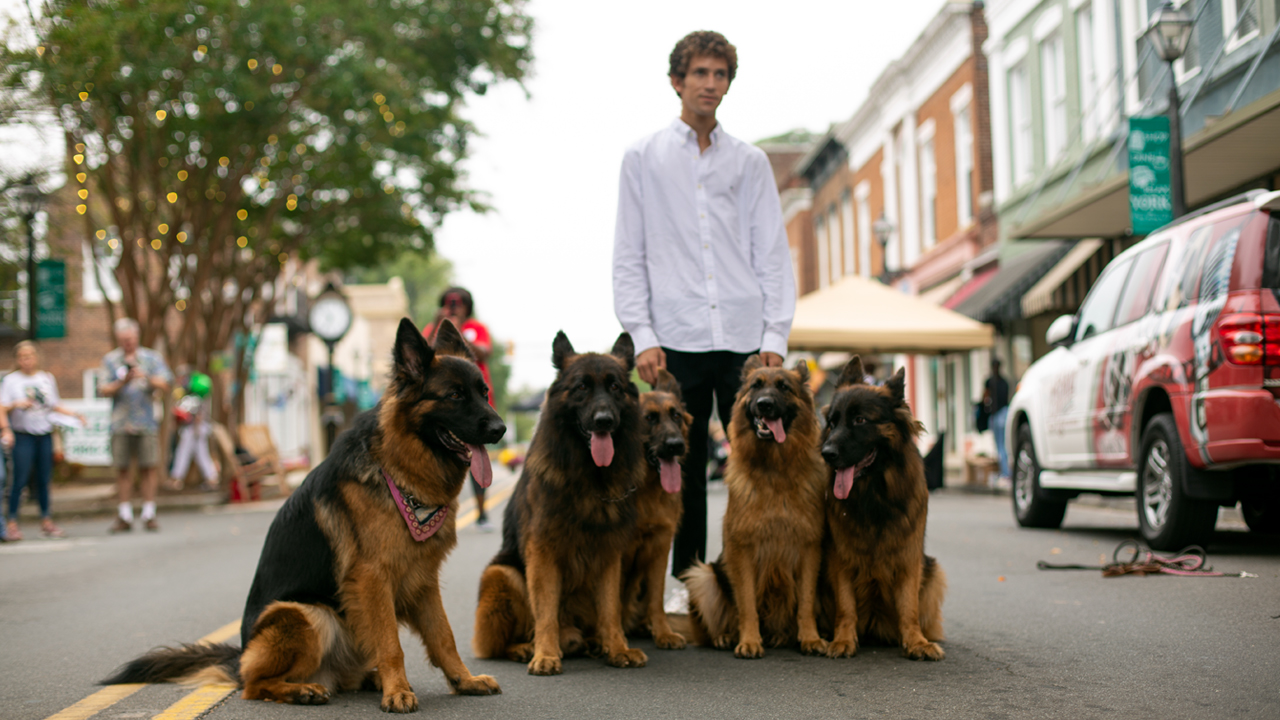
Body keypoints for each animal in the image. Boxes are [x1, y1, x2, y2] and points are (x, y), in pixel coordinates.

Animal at [99, 320, 504, 712]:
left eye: (484, 392)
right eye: (454, 396)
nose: (500, 429)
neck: (399, 468)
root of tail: (241, 657)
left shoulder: (423, 578)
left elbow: (443, 636)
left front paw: (464, 680)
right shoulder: (373, 577)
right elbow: (391, 643)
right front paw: (398, 692)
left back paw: (364, 680)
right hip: (307, 614)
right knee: (255, 686)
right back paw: (303, 690)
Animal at [473, 330, 650, 671]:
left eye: (615, 387)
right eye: (581, 387)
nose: (604, 420)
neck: (590, 478)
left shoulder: (609, 554)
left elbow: (610, 608)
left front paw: (618, 647)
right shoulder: (543, 553)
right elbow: (545, 611)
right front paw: (545, 654)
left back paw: (595, 643)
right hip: (501, 574)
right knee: (499, 643)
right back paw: (525, 648)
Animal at [616, 366, 691, 648]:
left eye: (676, 415)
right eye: (649, 418)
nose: (676, 445)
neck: (645, 489)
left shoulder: (660, 546)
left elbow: (657, 597)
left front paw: (663, 633)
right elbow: (612, 599)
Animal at [680, 353, 829, 655]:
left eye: (783, 387)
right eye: (756, 386)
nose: (764, 404)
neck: (775, 470)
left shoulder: (809, 549)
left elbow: (806, 602)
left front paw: (810, 638)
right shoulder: (743, 550)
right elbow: (747, 602)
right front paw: (749, 641)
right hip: (703, 576)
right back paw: (726, 637)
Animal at [814, 356, 947, 661]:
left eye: (860, 420)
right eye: (832, 422)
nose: (826, 454)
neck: (872, 495)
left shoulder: (909, 556)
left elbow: (909, 606)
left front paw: (916, 642)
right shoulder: (841, 557)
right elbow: (846, 605)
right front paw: (843, 640)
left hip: (933, 571)